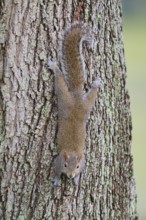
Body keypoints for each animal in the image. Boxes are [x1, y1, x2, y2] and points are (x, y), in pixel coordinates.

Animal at [47, 22, 100, 186]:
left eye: (77, 166)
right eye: (65, 165)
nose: (70, 176)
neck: (72, 152)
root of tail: (76, 99)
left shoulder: (83, 161)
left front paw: (76, 179)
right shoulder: (57, 161)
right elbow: (55, 170)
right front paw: (57, 179)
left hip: (85, 105)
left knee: (91, 94)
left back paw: (96, 83)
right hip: (65, 98)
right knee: (59, 79)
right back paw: (54, 67)